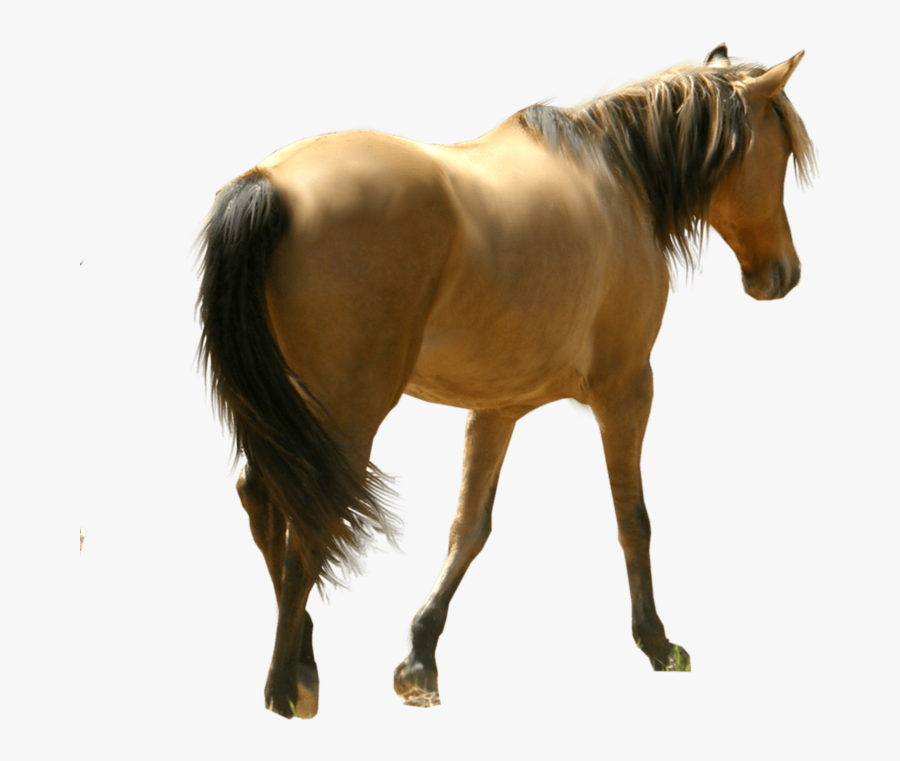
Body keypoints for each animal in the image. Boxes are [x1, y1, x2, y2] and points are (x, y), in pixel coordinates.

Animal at [196, 44, 815, 718]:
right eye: (781, 152)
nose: (783, 274)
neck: (619, 180)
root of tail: (269, 182)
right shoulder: (627, 388)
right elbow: (633, 519)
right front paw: (656, 642)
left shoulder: (497, 408)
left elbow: (469, 527)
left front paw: (420, 658)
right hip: (346, 411)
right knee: (307, 519)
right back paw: (284, 686)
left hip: (287, 409)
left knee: (264, 500)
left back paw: (303, 659)